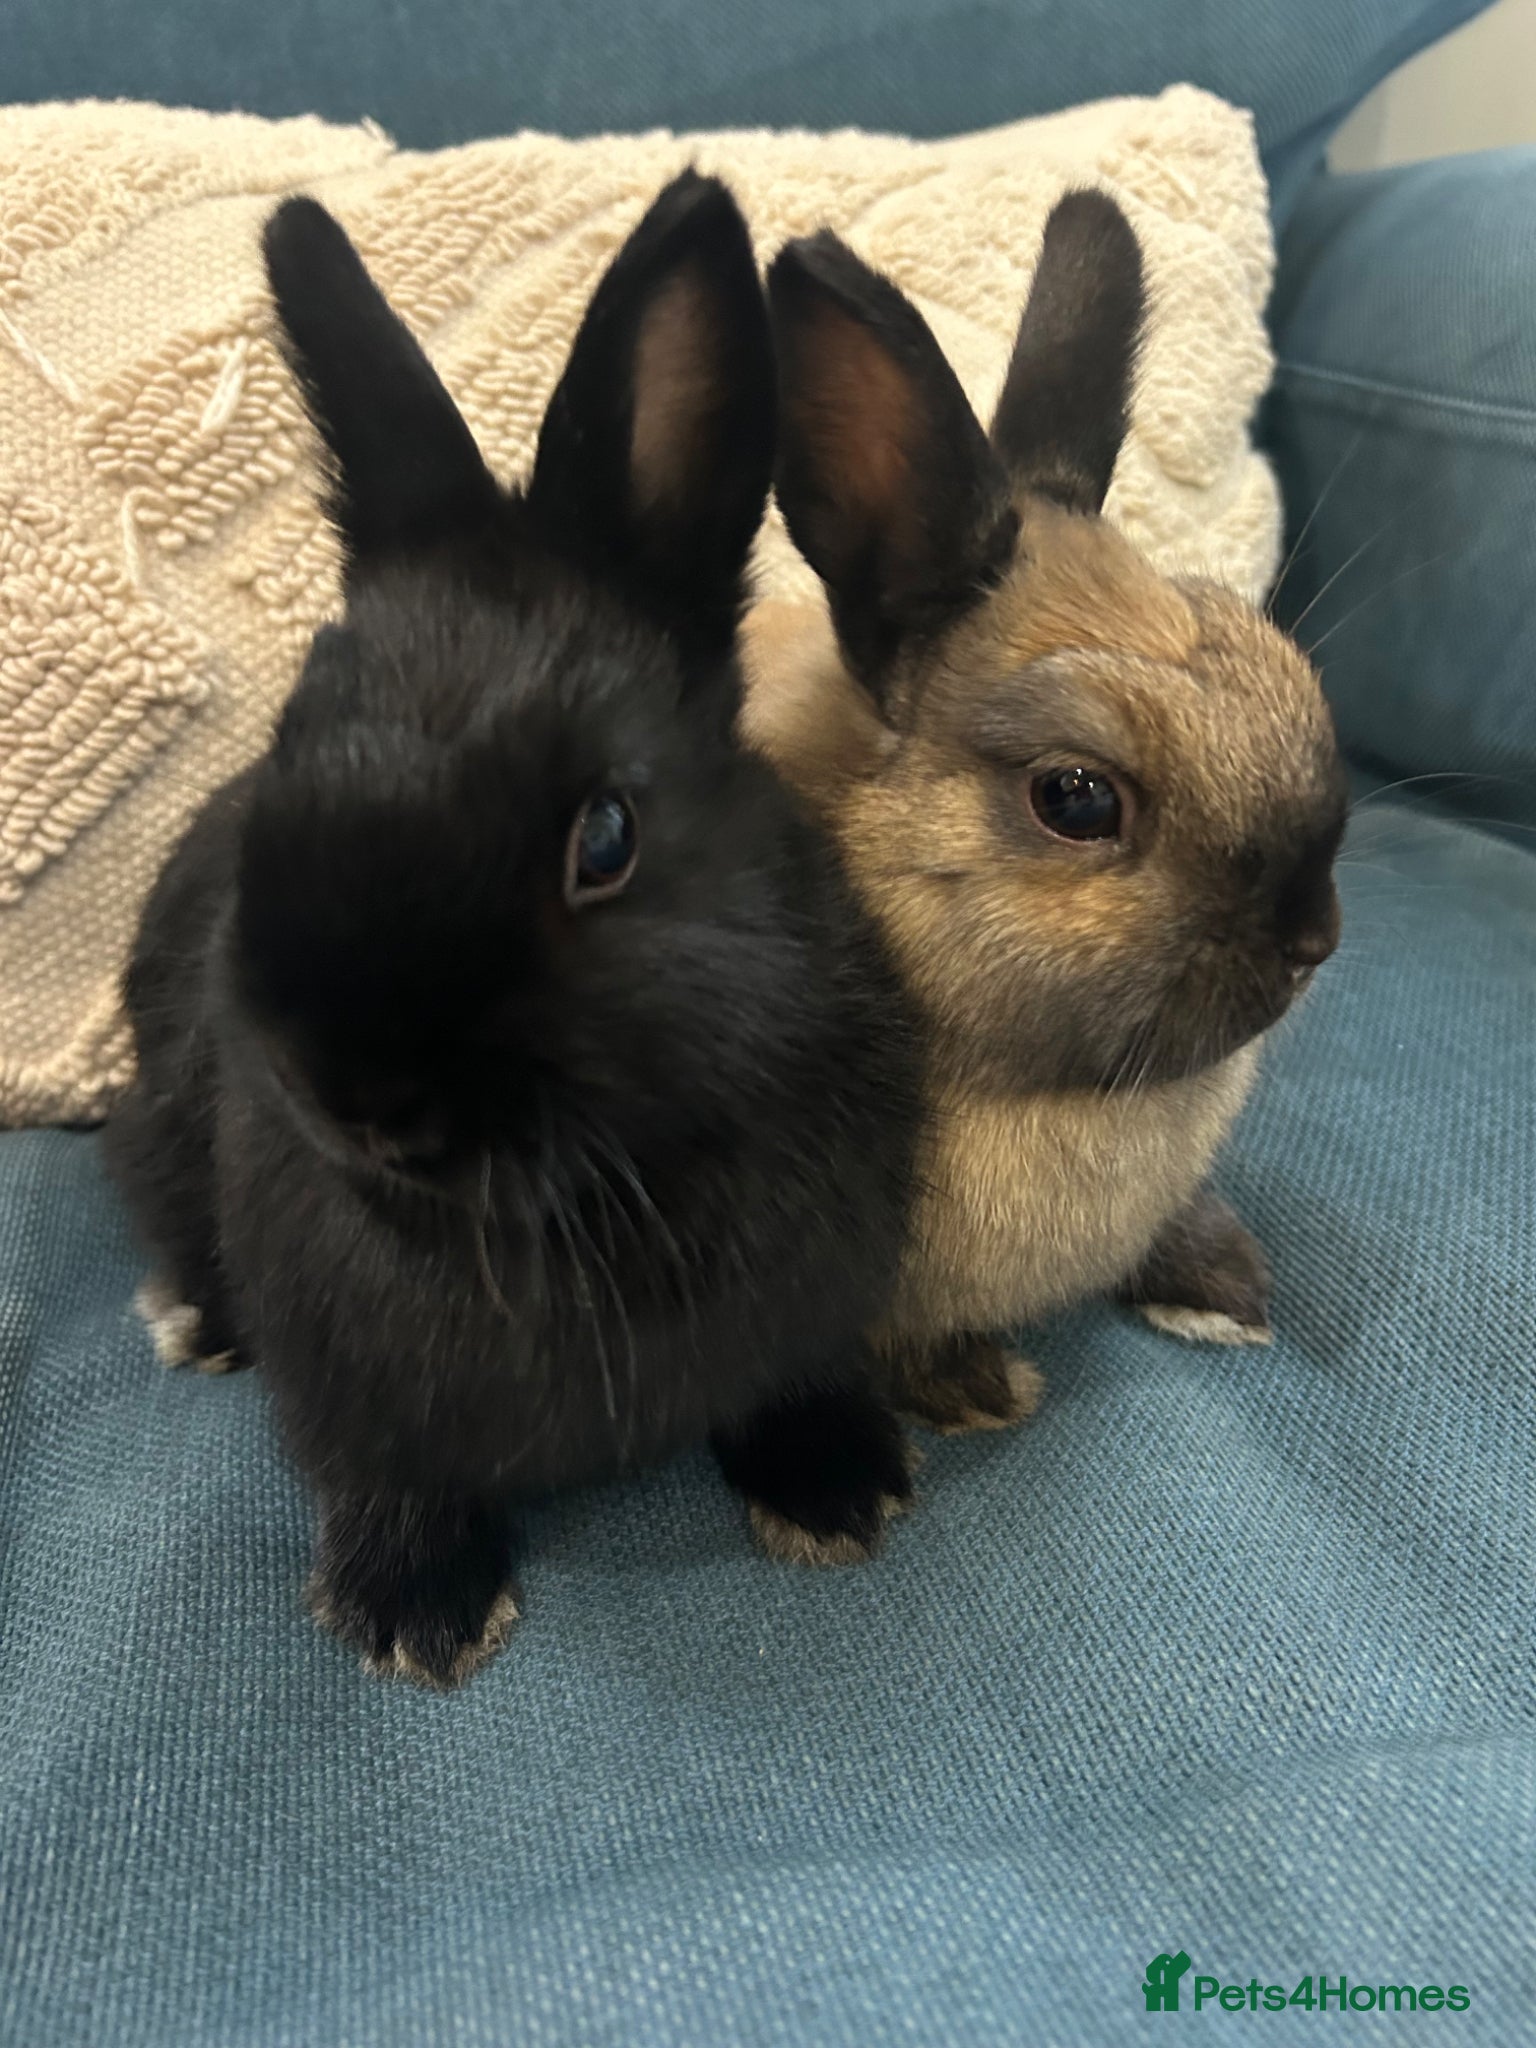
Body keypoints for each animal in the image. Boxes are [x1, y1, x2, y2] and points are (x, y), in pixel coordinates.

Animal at [104, 171, 924, 1688]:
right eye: (292, 742)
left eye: (606, 838)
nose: (356, 1094)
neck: (581, 1196)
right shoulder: (352, 1385)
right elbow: (384, 1469)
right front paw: (416, 1610)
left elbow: (795, 1377)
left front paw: (842, 1487)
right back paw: (194, 1320)